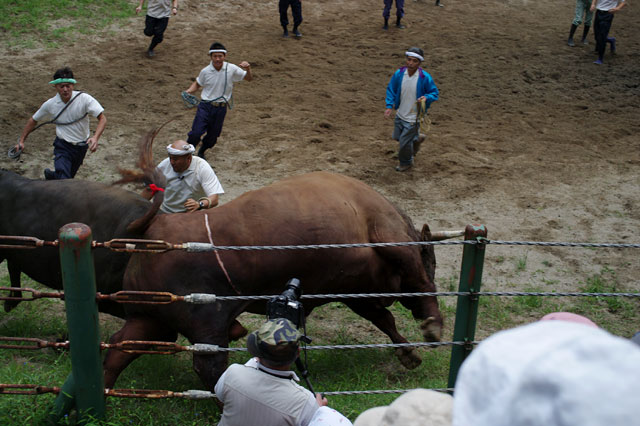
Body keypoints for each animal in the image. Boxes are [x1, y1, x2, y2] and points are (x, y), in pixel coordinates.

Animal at [104, 171, 444, 392]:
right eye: (433, 261)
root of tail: (153, 228)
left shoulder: (353, 290)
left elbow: (384, 319)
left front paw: (408, 353)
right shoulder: (391, 240)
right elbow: (419, 282)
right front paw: (432, 326)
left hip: (151, 320)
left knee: (118, 351)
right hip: (206, 322)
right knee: (209, 367)